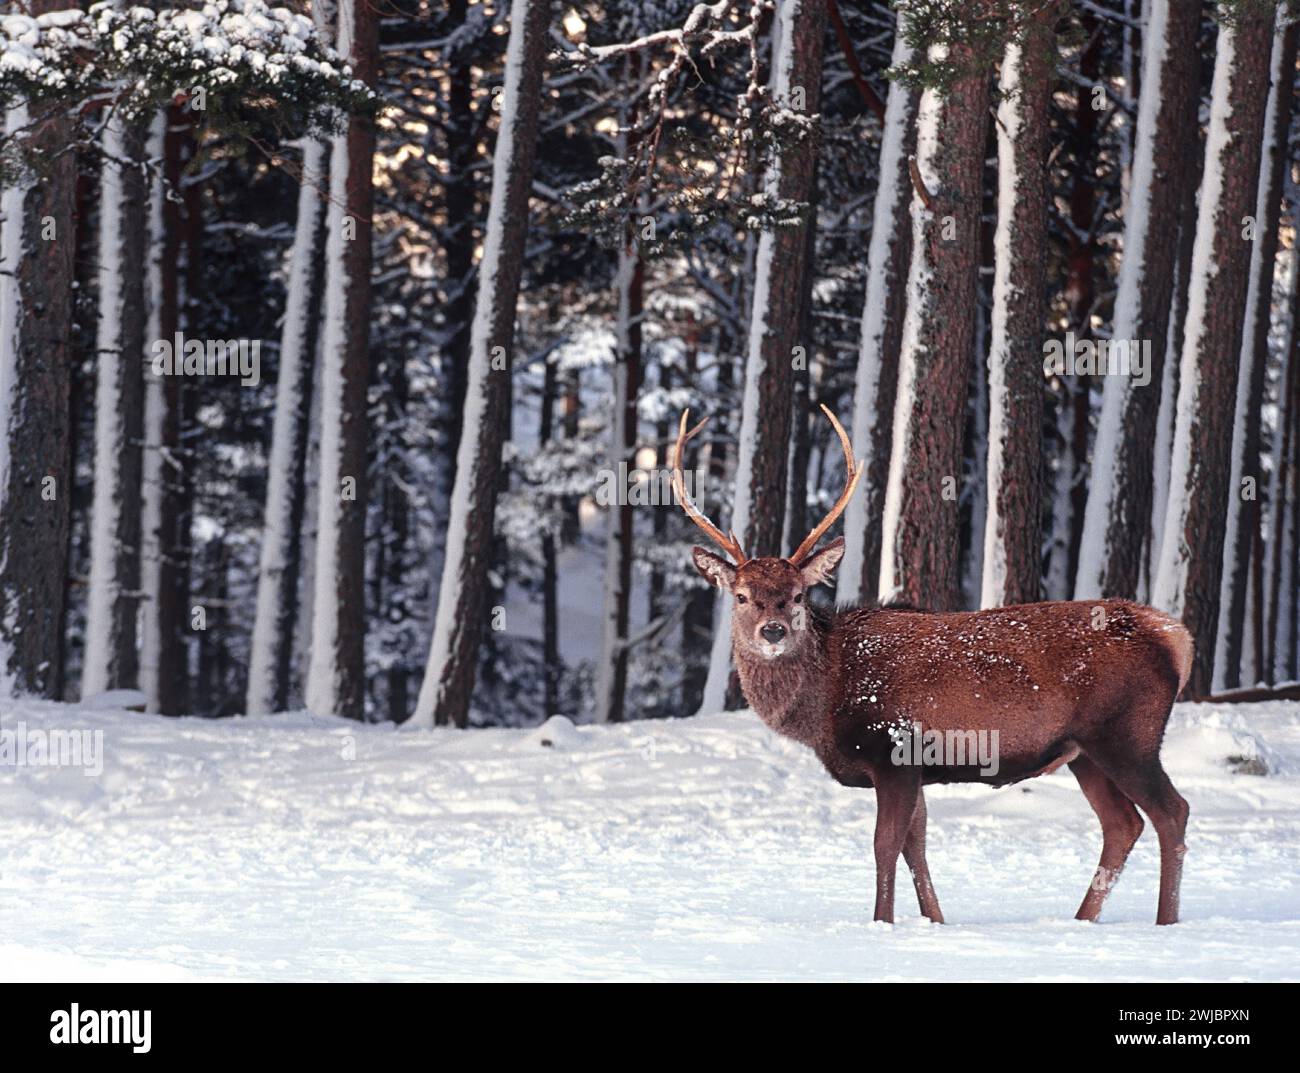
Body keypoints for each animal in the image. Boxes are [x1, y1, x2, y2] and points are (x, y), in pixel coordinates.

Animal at [676, 405, 1190, 926]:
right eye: (742, 596)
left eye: (798, 594)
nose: (774, 630)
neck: (827, 701)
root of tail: (1175, 637)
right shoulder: (914, 766)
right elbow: (916, 846)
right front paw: (934, 920)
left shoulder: (893, 749)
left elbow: (885, 845)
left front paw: (882, 921)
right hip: (1083, 750)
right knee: (1122, 824)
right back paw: (1083, 918)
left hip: (1127, 734)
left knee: (1172, 811)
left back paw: (1165, 921)